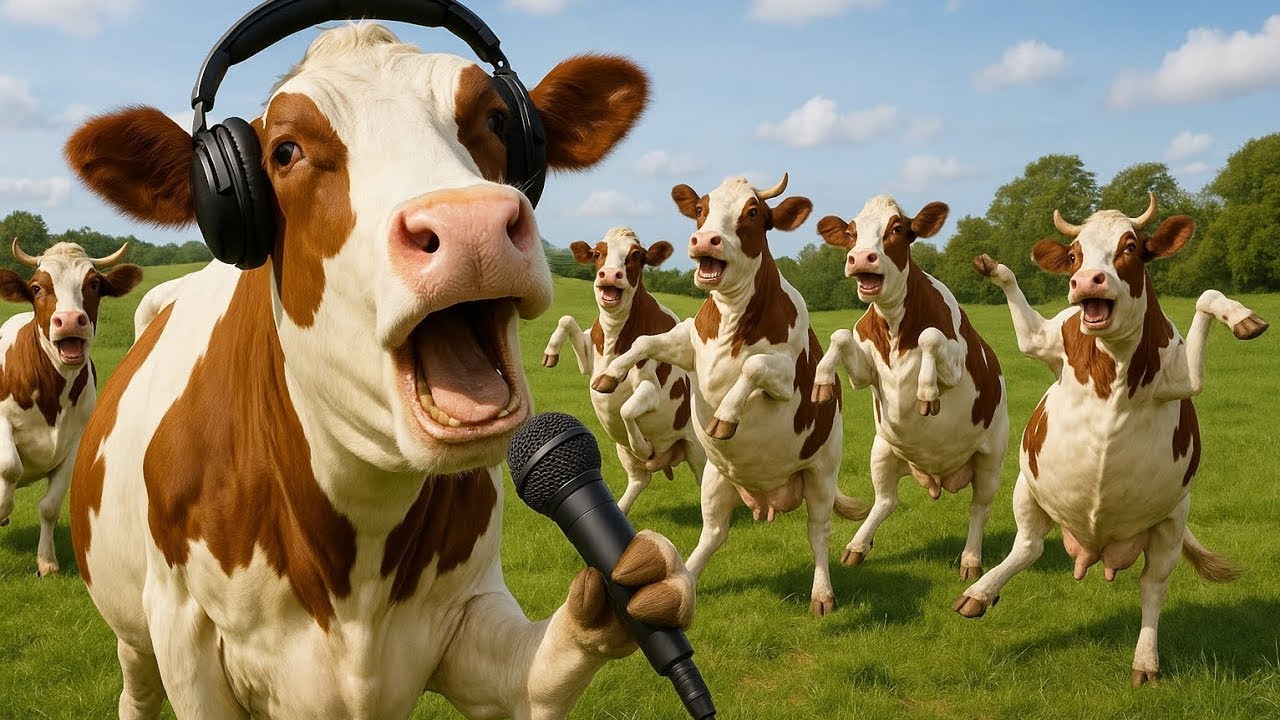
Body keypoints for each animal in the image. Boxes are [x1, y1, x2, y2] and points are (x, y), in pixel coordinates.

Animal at [0, 239, 140, 576]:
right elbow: (10, 467)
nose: (70, 320)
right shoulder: (2, 421)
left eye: (94, 284)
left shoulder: (75, 443)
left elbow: (49, 506)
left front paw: (47, 562)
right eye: (37, 287)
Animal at [540, 227, 706, 513]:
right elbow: (566, 319)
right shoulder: (589, 360)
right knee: (640, 479)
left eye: (636, 255)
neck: (615, 337)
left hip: (697, 450)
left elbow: (626, 409)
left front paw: (643, 447)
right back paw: (621, 510)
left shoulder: (654, 389)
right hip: (622, 451)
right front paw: (550, 352)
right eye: (598, 253)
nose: (609, 274)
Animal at [592, 174, 870, 617]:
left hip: (821, 472)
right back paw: (682, 582)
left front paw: (725, 416)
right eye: (701, 209)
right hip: (716, 478)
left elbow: (753, 367)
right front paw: (610, 374)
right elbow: (644, 343)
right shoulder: (688, 346)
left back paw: (822, 594)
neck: (731, 319)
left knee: (818, 532)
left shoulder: (787, 375)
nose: (705, 239)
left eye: (753, 212)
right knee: (713, 534)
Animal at [810, 196, 1008, 580]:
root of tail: (939, 477)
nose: (861, 257)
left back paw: (971, 560)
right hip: (882, 450)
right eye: (852, 232)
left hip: (991, 457)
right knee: (886, 500)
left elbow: (930, 336)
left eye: (898, 229)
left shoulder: (956, 363)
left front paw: (926, 391)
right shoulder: (864, 373)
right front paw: (823, 379)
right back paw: (857, 545)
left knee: (979, 507)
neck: (894, 324)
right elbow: (840, 336)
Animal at [953, 192, 1269, 686]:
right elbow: (1022, 318)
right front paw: (991, 266)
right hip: (1027, 486)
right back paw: (980, 593)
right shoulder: (1045, 341)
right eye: (1074, 255)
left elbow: (1205, 297)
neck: (1115, 363)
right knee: (1027, 547)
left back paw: (1146, 661)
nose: (1086, 281)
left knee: (1151, 587)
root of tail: (1096, 548)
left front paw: (1242, 316)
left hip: (1171, 520)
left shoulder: (1186, 379)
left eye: (1131, 247)